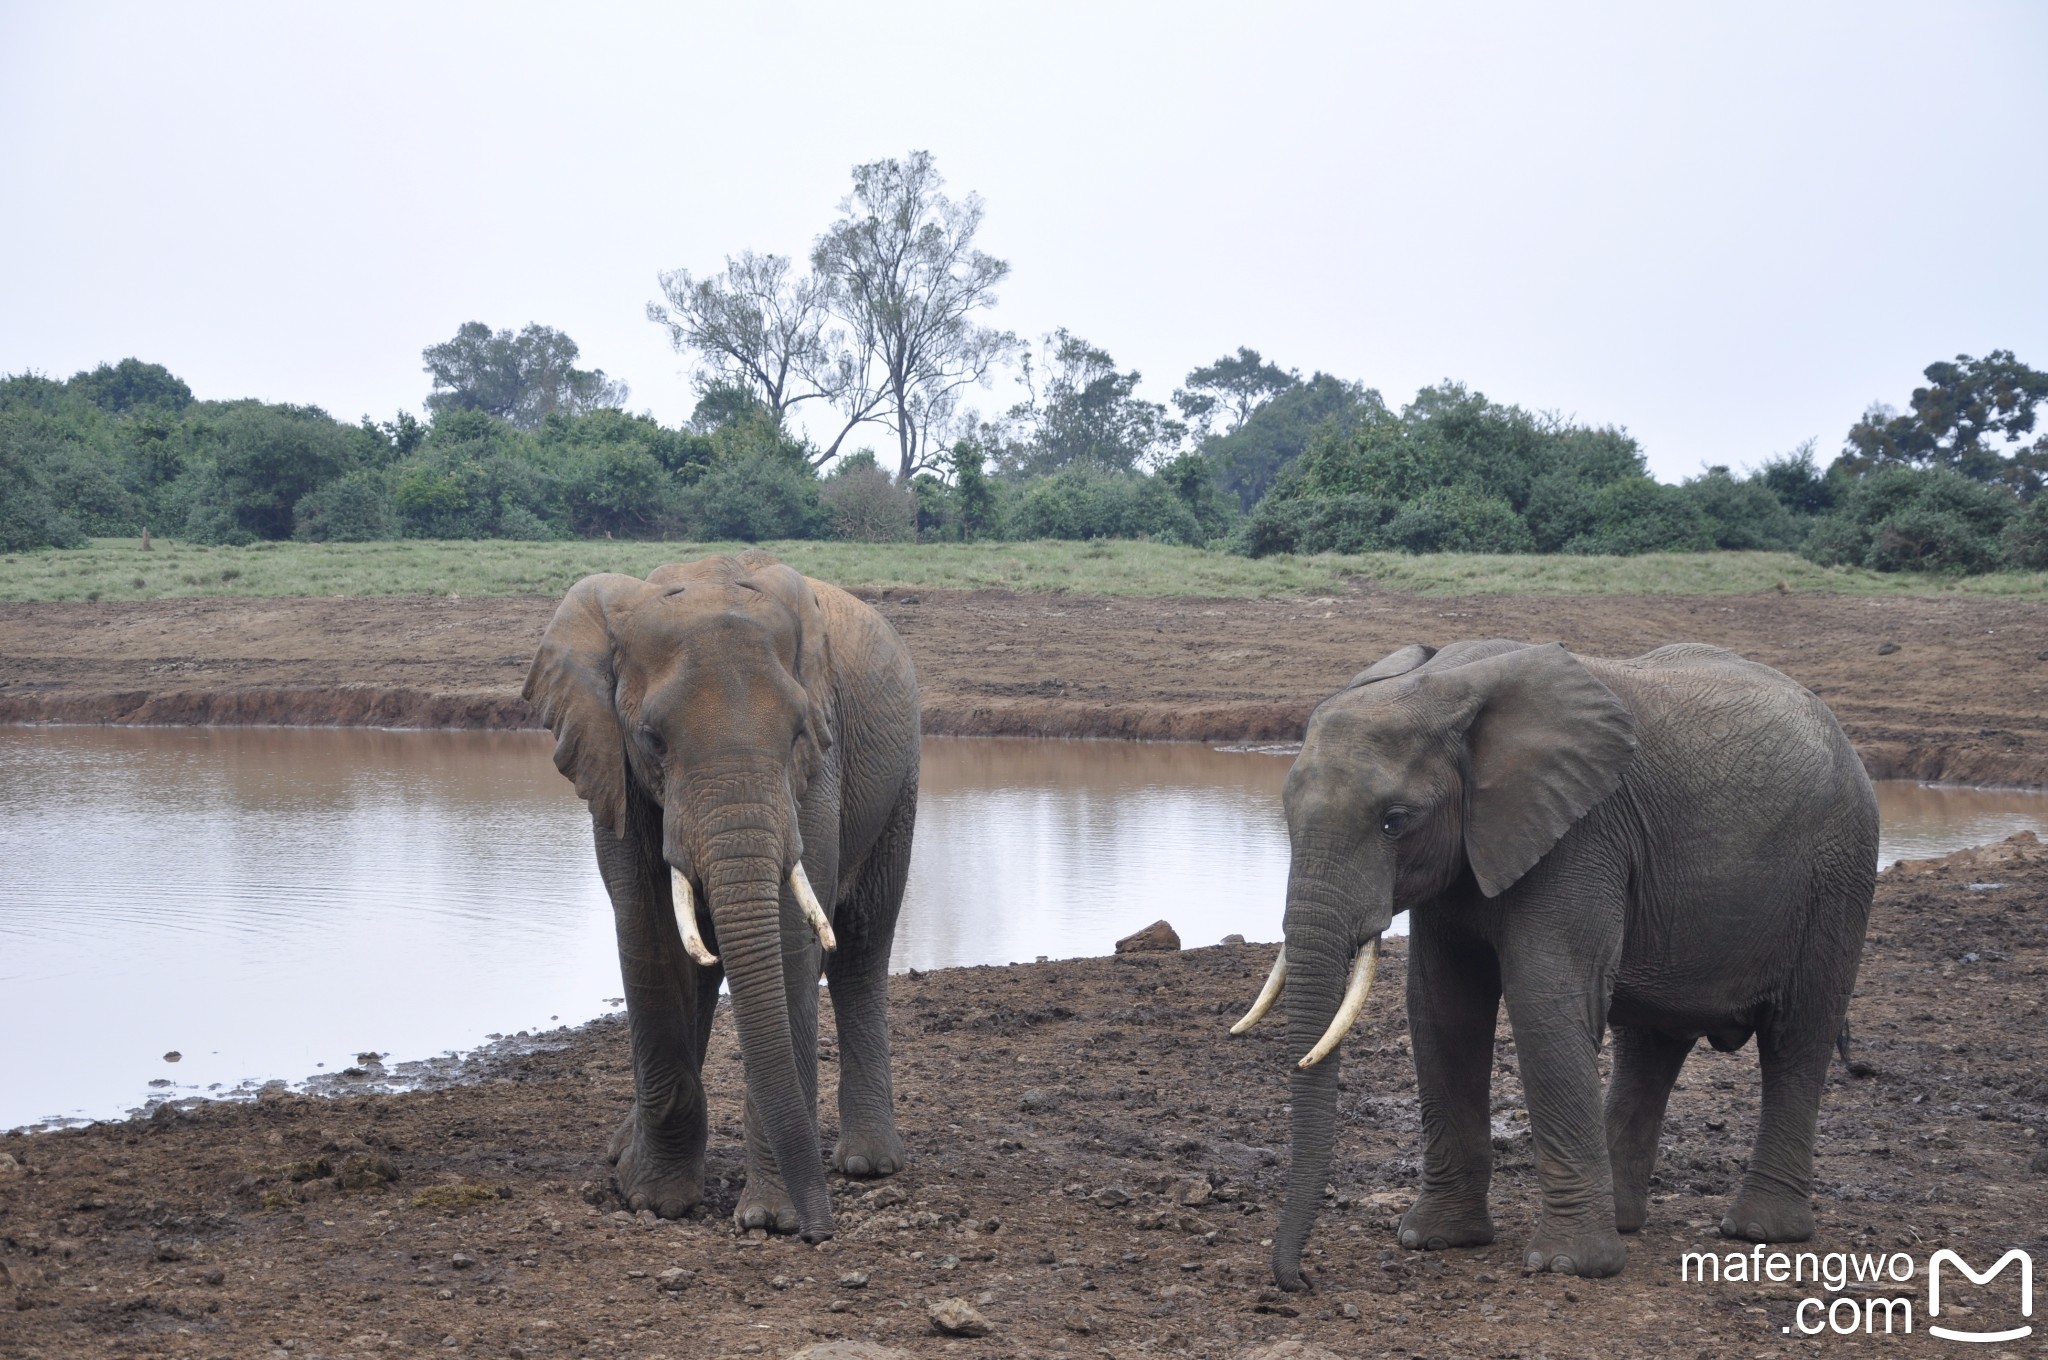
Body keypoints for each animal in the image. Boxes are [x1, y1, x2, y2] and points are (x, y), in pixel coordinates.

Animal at [524, 553, 917, 1245]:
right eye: (652, 739)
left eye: (799, 733)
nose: (821, 1233)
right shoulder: (614, 767)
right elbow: (649, 932)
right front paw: (653, 1201)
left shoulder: (819, 768)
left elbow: (787, 941)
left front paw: (770, 1221)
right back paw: (624, 1153)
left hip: (903, 780)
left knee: (862, 949)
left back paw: (869, 1165)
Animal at [1220, 639, 1875, 1286]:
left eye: (1395, 821)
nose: (1301, 1281)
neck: (1446, 684)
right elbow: (1443, 1008)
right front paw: (1434, 1241)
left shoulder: (1580, 836)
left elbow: (1546, 1001)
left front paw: (1568, 1266)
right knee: (1651, 1044)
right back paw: (1627, 1222)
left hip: (1838, 875)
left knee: (1797, 1037)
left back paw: (1760, 1231)